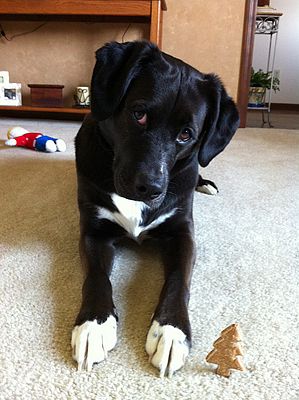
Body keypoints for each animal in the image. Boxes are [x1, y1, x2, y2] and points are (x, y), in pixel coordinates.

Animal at [71, 41, 240, 378]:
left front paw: (171, 333)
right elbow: (96, 276)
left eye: (186, 134)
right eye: (139, 114)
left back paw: (206, 184)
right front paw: (93, 326)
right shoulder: (93, 232)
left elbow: (178, 280)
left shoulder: (182, 234)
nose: (150, 188)